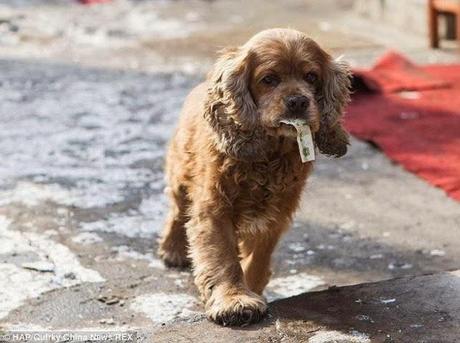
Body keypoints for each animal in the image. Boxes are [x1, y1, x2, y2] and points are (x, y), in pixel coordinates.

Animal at [156, 28, 350, 328]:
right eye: (268, 79)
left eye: (311, 77)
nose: (298, 101)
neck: (269, 154)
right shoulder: (214, 208)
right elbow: (223, 256)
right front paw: (234, 301)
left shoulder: (276, 212)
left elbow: (258, 256)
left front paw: (251, 288)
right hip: (179, 172)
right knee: (177, 211)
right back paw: (173, 249)